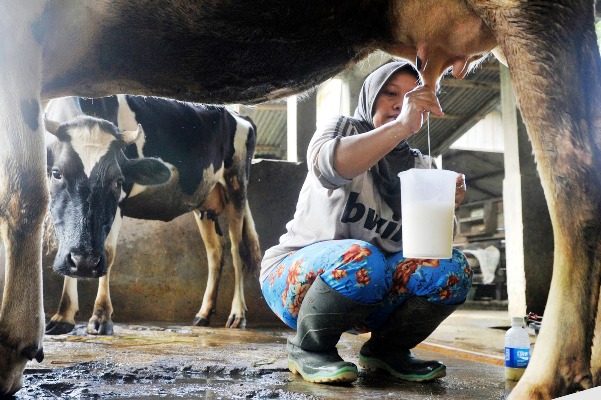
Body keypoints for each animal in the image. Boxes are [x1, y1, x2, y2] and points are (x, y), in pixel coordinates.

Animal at [44, 95, 260, 336]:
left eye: (118, 181)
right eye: (56, 173)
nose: (85, 262)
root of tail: (237, 113)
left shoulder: (121, 199)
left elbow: (108, 252)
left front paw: (101, 316)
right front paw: (63, 316)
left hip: (236, 185)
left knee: (237, 250)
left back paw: (238, 314)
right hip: (204, 202)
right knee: (215, 250)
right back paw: (203, 314)